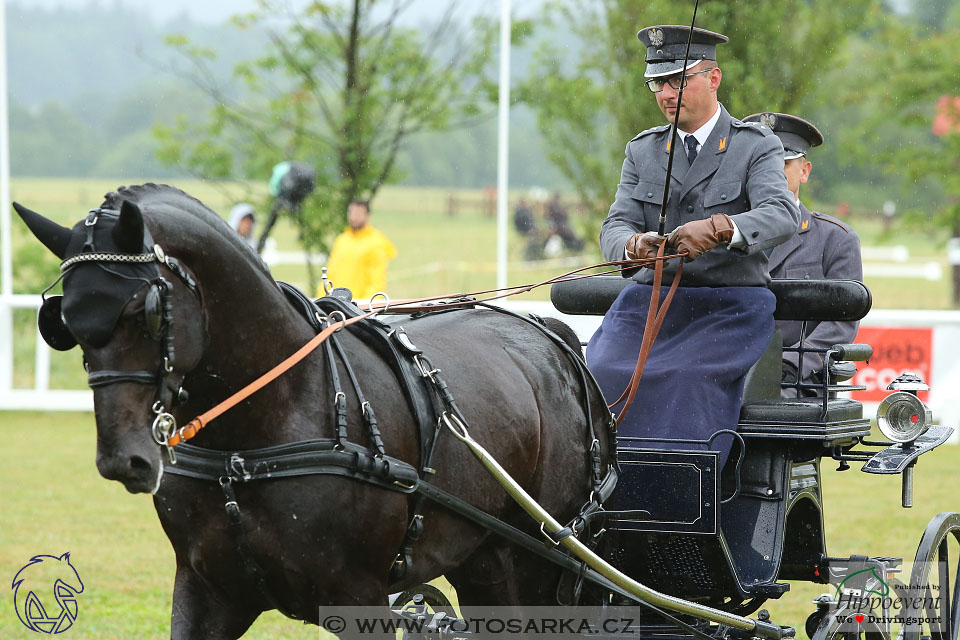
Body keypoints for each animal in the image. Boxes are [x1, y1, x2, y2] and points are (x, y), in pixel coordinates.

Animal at [15, 182, 612, 636]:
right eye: (62, 320)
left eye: (148, 310)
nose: (125, 459)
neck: (254, 440)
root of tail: (550, 333)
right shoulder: (206, 592)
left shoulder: (358, 598)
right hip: (486, 560)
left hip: (537, 568)